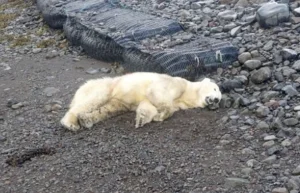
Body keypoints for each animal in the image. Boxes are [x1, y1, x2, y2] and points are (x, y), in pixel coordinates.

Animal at [59, 71, 221, 131]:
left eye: (219, 98)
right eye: (215, 89)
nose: (216, 100)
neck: (188, 93)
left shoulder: (178, 102)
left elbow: (147, 105)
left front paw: (143, 118)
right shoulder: (176, 83)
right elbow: (157, 93)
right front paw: (161, 114)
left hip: (117, 101)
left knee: (109, 109)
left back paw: (86, 120)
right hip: (105, 87)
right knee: (93, 100)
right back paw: (71, 123)